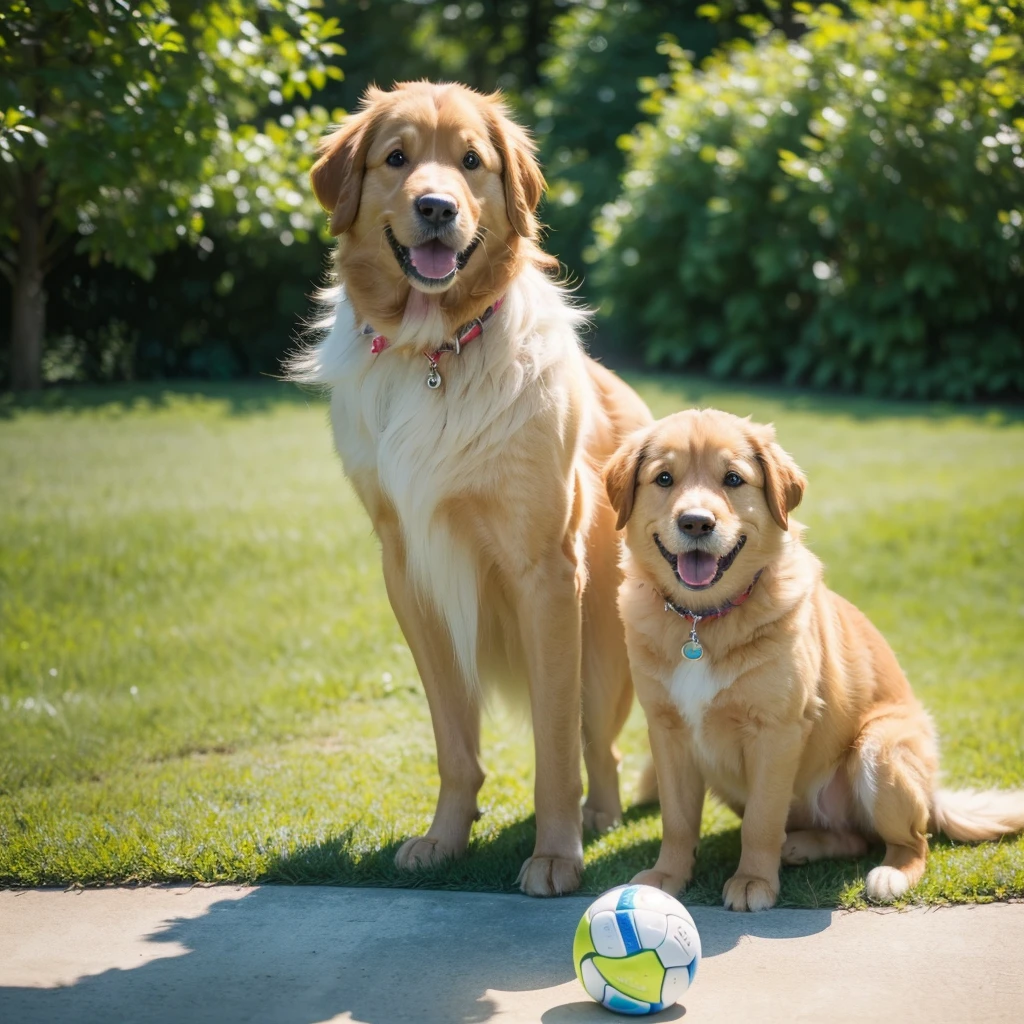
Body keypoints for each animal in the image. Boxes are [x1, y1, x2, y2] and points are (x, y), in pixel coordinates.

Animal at [292, 81, 651, 897]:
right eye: (397, 159)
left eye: (471, 162)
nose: (436, 208)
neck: (436, 350)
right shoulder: (409, 568)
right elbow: (454, 737)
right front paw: (444, 839)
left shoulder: (544, 572)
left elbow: (556, 744)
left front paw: (555, 855)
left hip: (605, 640)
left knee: (601, 742)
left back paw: (601, 815)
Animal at [602, 409, 1019, 913]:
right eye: (664, 478)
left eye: (733, 478)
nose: (696, 523)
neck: (702, 621)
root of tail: (934, 795)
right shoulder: (667, 730)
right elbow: (678, 821)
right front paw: (667, 877)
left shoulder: (777, 731)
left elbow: (761, 821)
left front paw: (753, 880)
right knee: (852, 837)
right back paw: (801, 845)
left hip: (880, 747)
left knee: (910, 842)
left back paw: (890, 875)